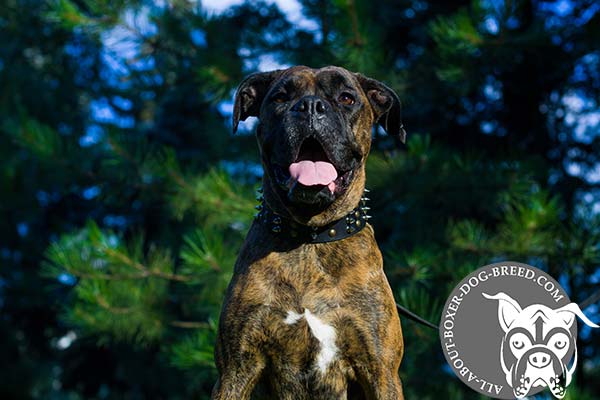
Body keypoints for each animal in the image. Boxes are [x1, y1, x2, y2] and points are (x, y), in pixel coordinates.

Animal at [212, 66, 408, 400]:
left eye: (346, 98)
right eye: (280, 97)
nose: (311, 107)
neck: (311, 238)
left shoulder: (381, 370)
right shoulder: (236, 369)